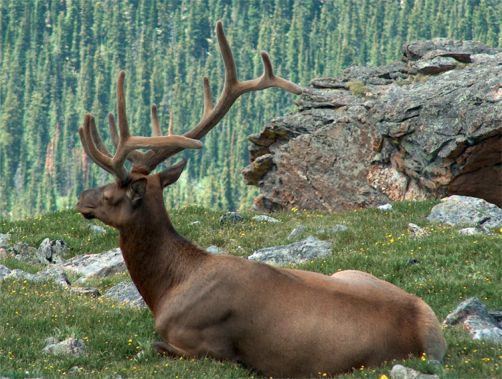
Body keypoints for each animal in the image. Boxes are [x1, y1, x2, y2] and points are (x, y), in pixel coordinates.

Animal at [76, 21, 446, 379]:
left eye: (109, 194)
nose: (81, 198)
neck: (167, 289)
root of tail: (426, 335)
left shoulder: (207, 345)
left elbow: (153, 345)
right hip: (350, 272)